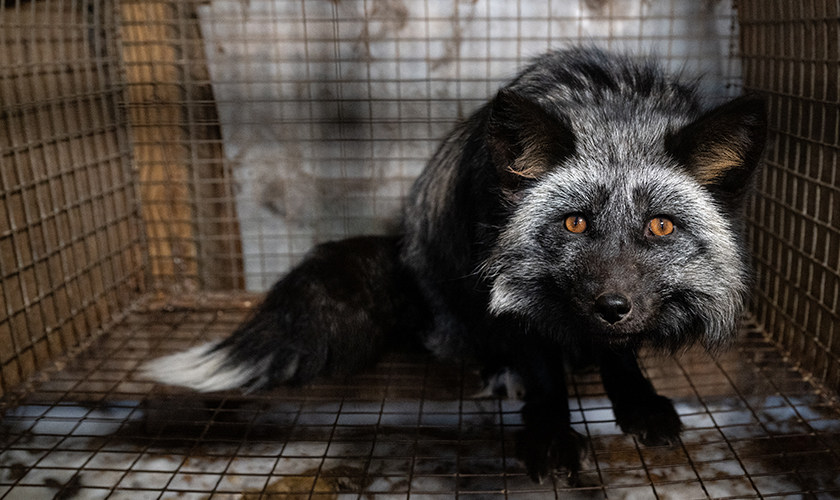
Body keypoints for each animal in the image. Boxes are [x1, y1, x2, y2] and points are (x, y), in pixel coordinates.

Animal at [144, 47, 768, 484]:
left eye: (661, 227)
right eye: (574, 223)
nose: (611, 307)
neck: (613, 111)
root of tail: (399, 253)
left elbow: (622, 356)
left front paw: (635, 400)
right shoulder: (502, 280)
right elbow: (542, 365)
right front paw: (550, 433)